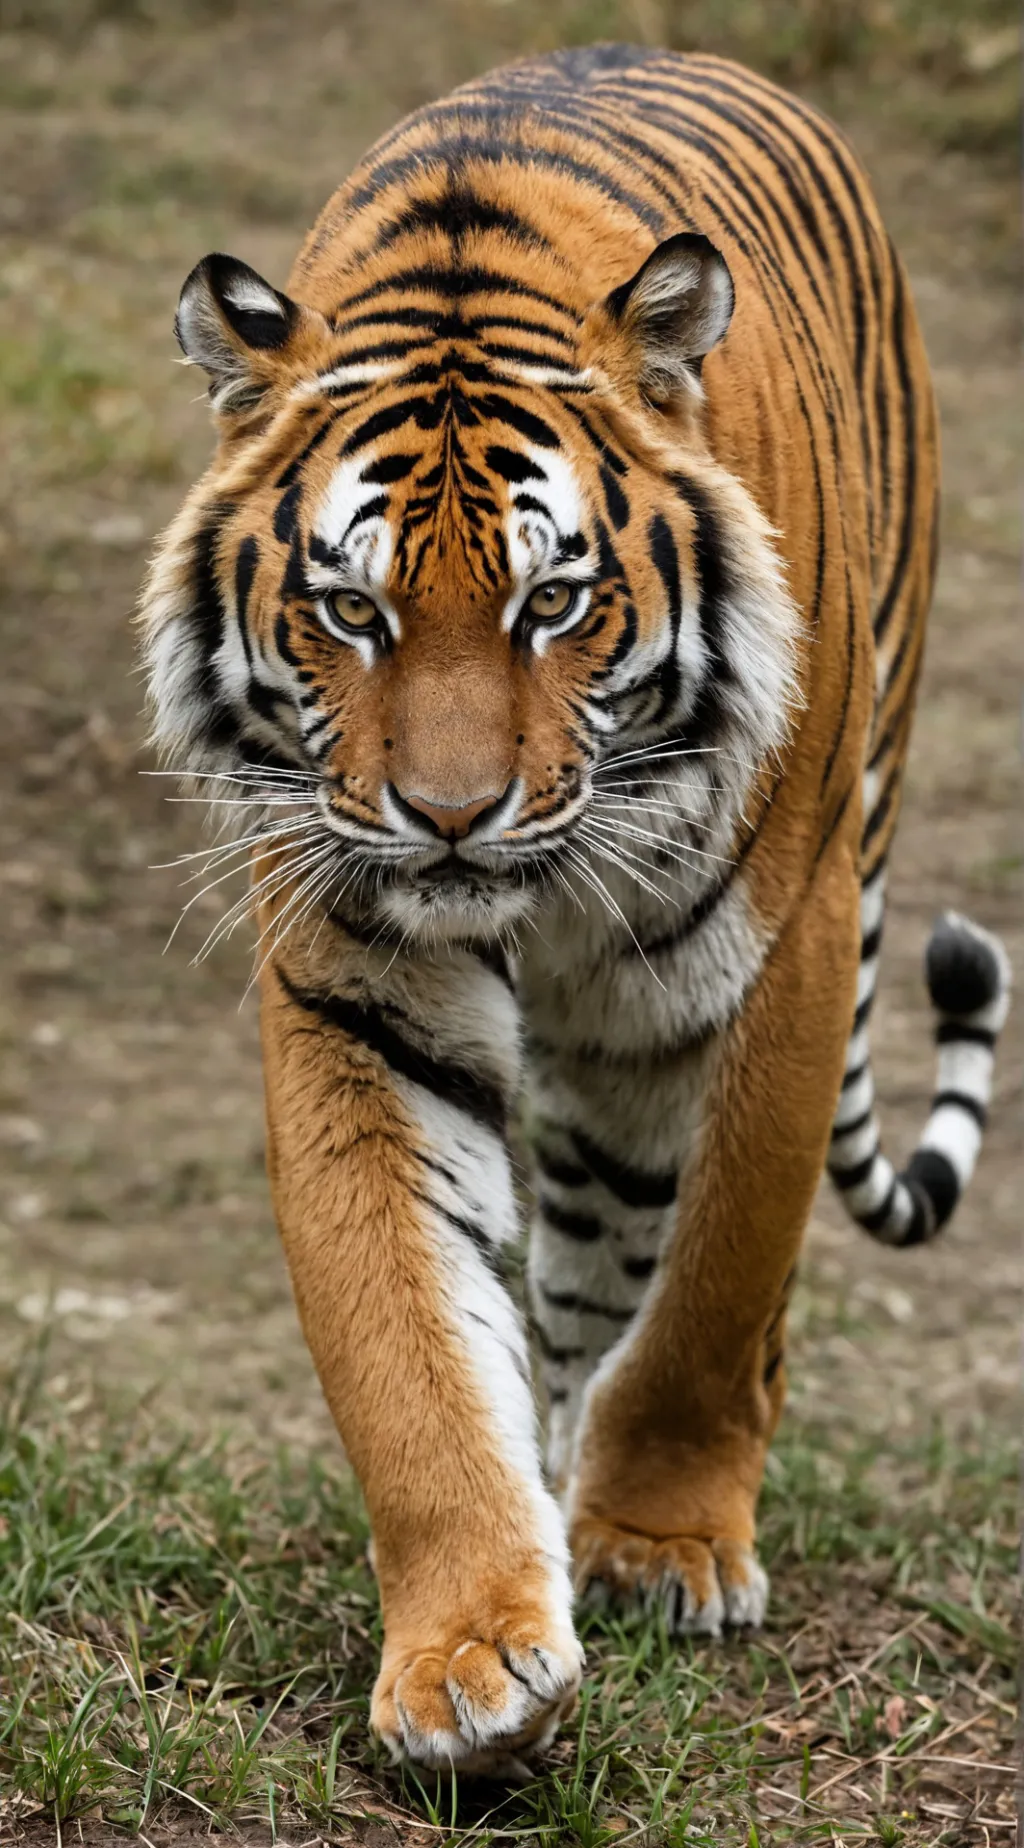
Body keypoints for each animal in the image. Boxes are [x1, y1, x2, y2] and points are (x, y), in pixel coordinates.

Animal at [140, 43, 1011, 1775]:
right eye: (353, 609)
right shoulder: (354, 985)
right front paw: (473, 1651)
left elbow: (716, 1284)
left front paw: (661, 1547)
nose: (450, 815)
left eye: (554, 600)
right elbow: (407, 1334)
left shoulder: (782, 949)